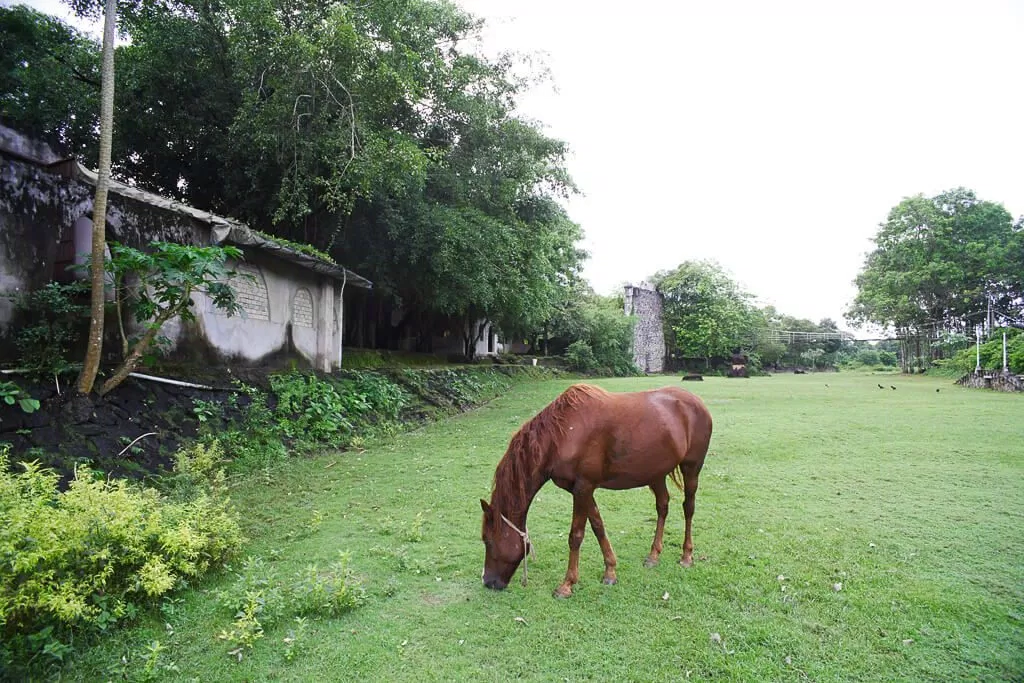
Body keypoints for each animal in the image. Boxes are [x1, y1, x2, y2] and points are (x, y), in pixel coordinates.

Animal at [479, 385, 712, 598]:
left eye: (487, 541)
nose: (489, 582)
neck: (561, 435)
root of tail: (697, 402)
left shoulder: (583, 487)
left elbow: (576, 535)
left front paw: (567, 585)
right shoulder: (581, 489)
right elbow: (598, 525)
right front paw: (610, 572)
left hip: (692, 468)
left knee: (688, 507)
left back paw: (686, 556)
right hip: (656, 473)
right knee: (662, 506)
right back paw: (653, 555)